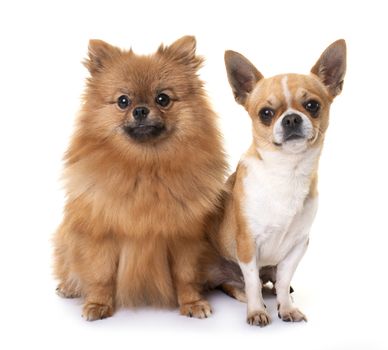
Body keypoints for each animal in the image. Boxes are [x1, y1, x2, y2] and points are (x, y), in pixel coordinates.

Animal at [53, 37, 226, 322]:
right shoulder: (101, 234)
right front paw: (98, 304)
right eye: (123, 101)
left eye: (163, 98)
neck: (145, 167)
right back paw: (69, 287)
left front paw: (192, 302)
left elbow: (185, 275)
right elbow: (101, 275)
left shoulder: (185, 237)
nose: (141, 110)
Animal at [214, 40, 348, 326]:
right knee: (236, 284)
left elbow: (285, 280)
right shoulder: (247, 245)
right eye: (266, 113)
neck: (287, 172)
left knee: (274, 281)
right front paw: (256, 310)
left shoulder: (297, 246)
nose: (291, 118)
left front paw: (286, 307)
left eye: (312, 105)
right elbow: (252, 282)